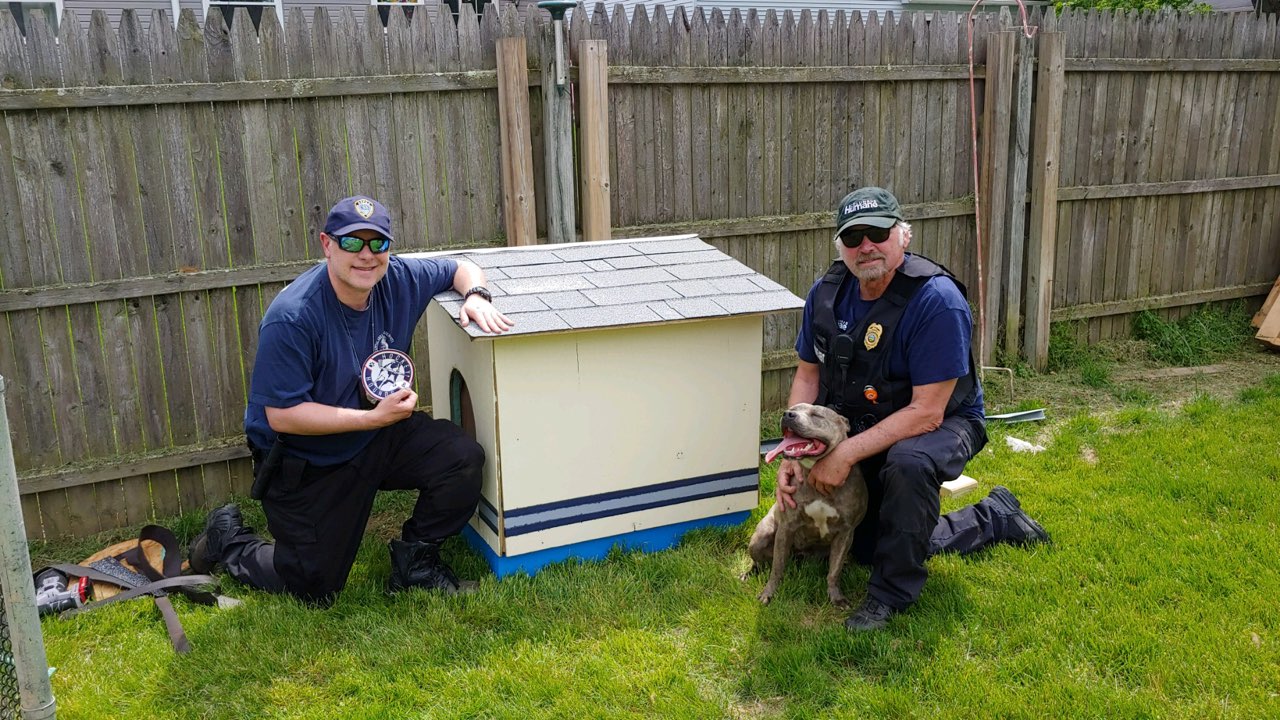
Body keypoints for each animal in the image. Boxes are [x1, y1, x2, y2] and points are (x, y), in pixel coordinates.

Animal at [747, 399, 875, 602]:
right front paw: (768, 593)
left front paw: (836, 598)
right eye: (792, 409)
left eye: (817, 415)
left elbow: (834, 570)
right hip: (761, 536)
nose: (787, 414)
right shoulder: (786, 527)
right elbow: (777, 567)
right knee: (760, 562)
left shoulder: (846, 532)